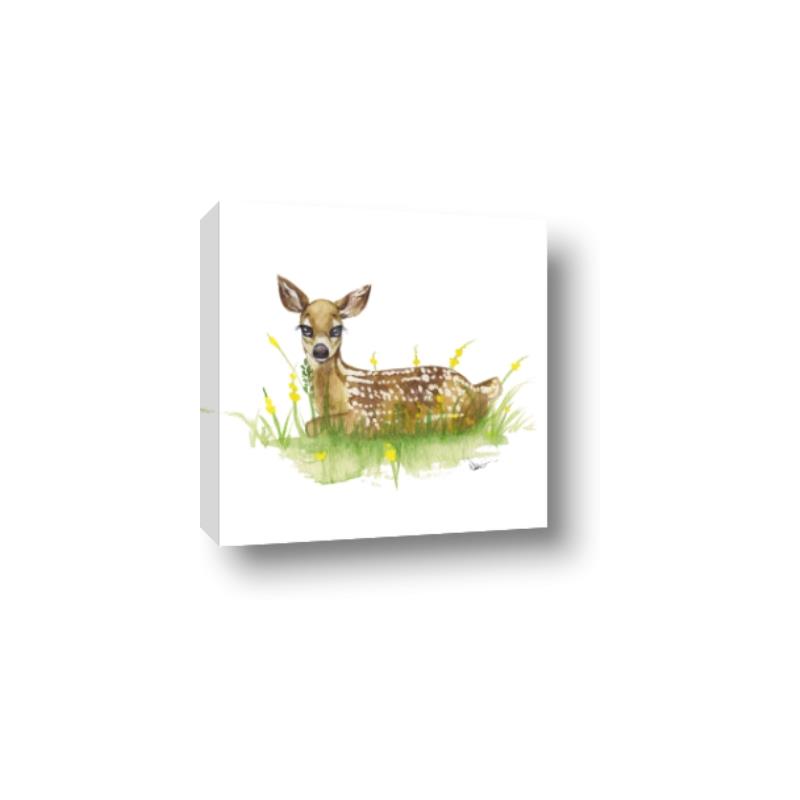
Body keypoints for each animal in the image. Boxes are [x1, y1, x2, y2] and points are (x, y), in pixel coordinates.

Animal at [277, 275, 502, 438]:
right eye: (306, 329)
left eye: (337, 329)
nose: (321, 351)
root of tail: (476, 388)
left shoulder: (365, 415)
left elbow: (311, 426)